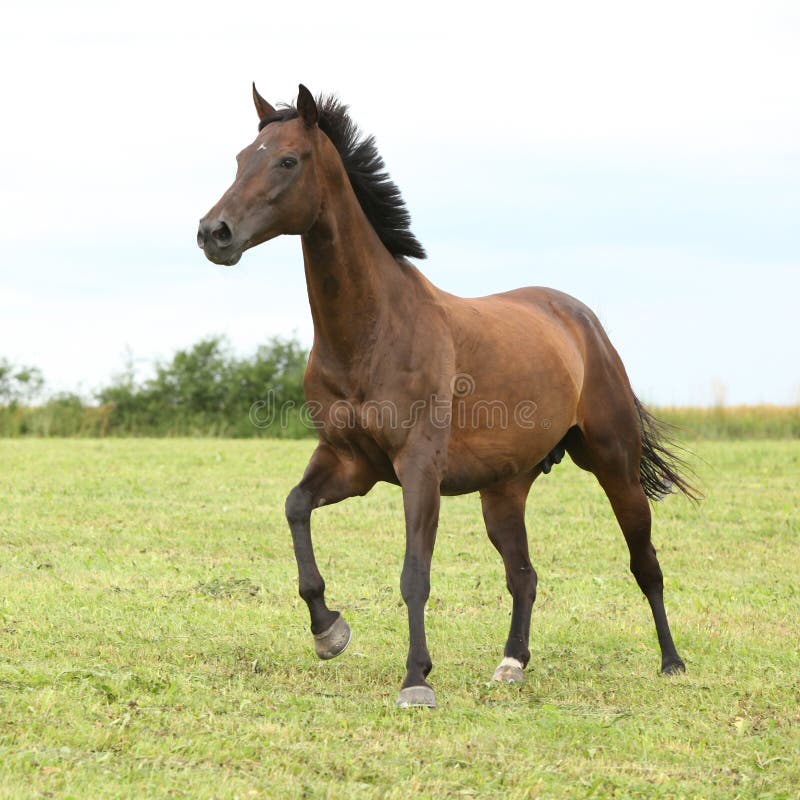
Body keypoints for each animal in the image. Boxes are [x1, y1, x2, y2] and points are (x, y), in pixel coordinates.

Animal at [197, 83, 696, 708]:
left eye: (288, 160)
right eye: (242, 158)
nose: (213, 233)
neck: (375, 330)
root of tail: (582, 320)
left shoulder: (419, 468)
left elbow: (415, 572)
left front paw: (415, 679)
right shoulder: (349, 463)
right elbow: (294, 507)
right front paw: (328, 630)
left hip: (614, 466)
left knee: (644, 563)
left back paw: (672, 662)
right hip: (504, 491)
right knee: (524, 575)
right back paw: (512, 663)